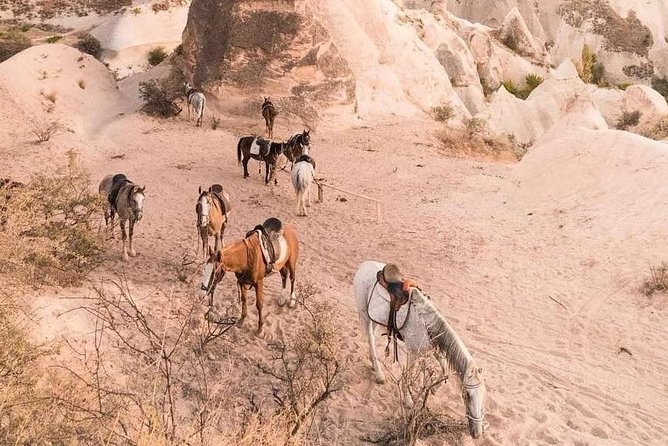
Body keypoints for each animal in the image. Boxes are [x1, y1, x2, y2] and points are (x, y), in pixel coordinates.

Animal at [352, 262, 488, 440]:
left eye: (484, 397)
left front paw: (435, 389)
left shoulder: (435, 350)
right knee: (370, 339)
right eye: (467, 395)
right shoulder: (413, 353)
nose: (477, 433)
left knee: (371, 339)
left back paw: (375, 367)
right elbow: (408, 377)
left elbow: (445, 371)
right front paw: (408, 401)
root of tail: (364, 265)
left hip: (374, 319)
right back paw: (379, 374)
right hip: (365, 315)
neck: (428, 324)